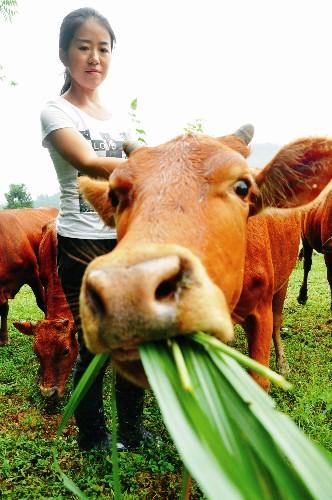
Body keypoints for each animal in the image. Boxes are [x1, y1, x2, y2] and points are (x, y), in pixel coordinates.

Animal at [76, 127, 332, 388]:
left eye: (242, 188)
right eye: (114, 197)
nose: (127, 292)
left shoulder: (262, 310)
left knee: (279, 319)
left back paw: (282, 361)